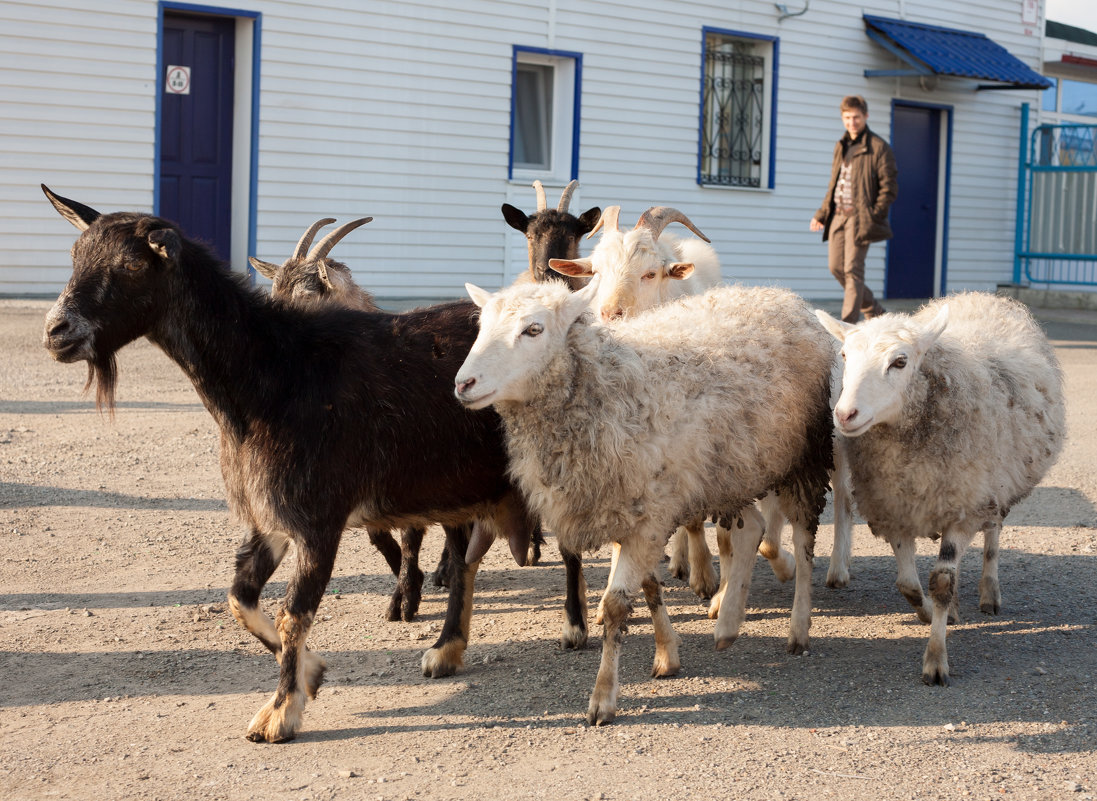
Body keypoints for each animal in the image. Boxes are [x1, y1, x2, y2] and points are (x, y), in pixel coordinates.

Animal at [40, 184, 537, 737]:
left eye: (130, 264)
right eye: (75, 255)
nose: (56, 331)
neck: (276, 374)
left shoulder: (318, 521)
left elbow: (293, 613)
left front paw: (279, 713)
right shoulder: (268, 519)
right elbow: (240, 599)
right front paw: (312, 673)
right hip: (453, 481)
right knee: (463, 554)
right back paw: (447, 651)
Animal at [454, 277, 829, 719]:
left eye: (533, 329)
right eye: (481, 327)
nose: (463, 384)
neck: (603, 387)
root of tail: (783, 296)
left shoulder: (647, 515)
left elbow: (618, 606)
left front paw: (603, 696)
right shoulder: (636, 510)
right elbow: (649, 586)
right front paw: (668, 653)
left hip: (806, 452)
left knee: (804, 538)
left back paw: (798, 627)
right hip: (732, 468)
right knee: (750, 529)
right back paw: (728, 623)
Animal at [820, 289, 1066, 684]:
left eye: (900, 361)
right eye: (844, 356)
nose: (844, 415)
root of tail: (980, 296)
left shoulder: (964, 508)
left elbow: (941, 583)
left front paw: (936, 659)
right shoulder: (895, 508)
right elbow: (908, 583)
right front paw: (929, 613)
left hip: (992, 484)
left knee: (993, 534)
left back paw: (989, 593)